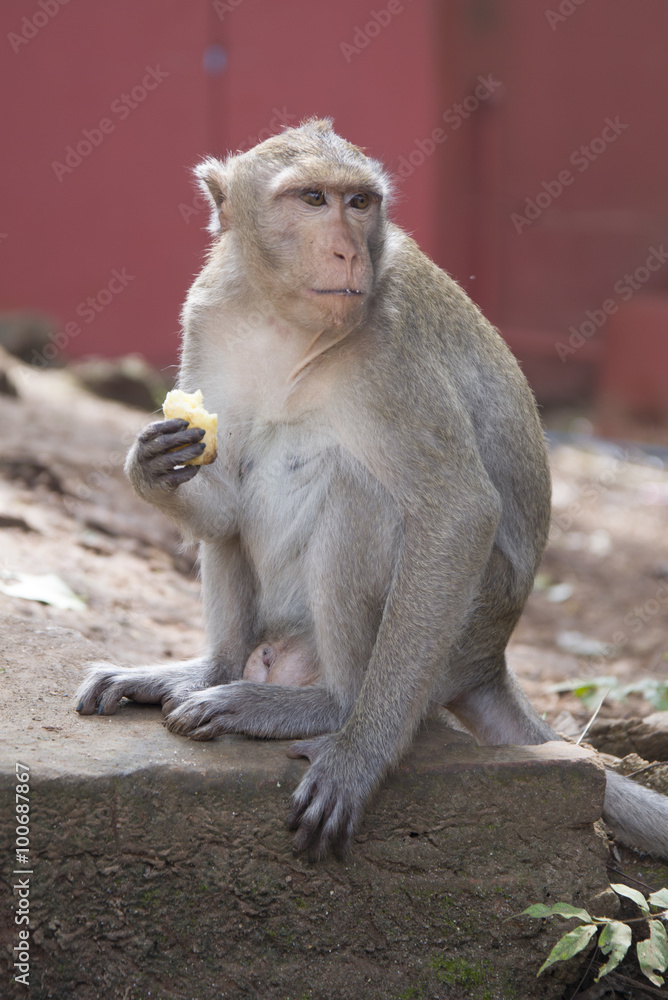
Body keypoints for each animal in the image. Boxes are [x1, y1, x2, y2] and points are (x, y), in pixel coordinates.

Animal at [76, 118, 668, 861]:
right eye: (311, 199)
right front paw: (150, 466)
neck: (284, 318)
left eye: (359, 203)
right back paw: (210, 672)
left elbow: (457, 512)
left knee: (359, 489)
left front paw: (361, 753)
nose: (346, 251)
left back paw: (328, 705)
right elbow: (226, 494)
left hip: (462, 630)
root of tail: (492, 659)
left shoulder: (393, 350)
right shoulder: (206, 313)